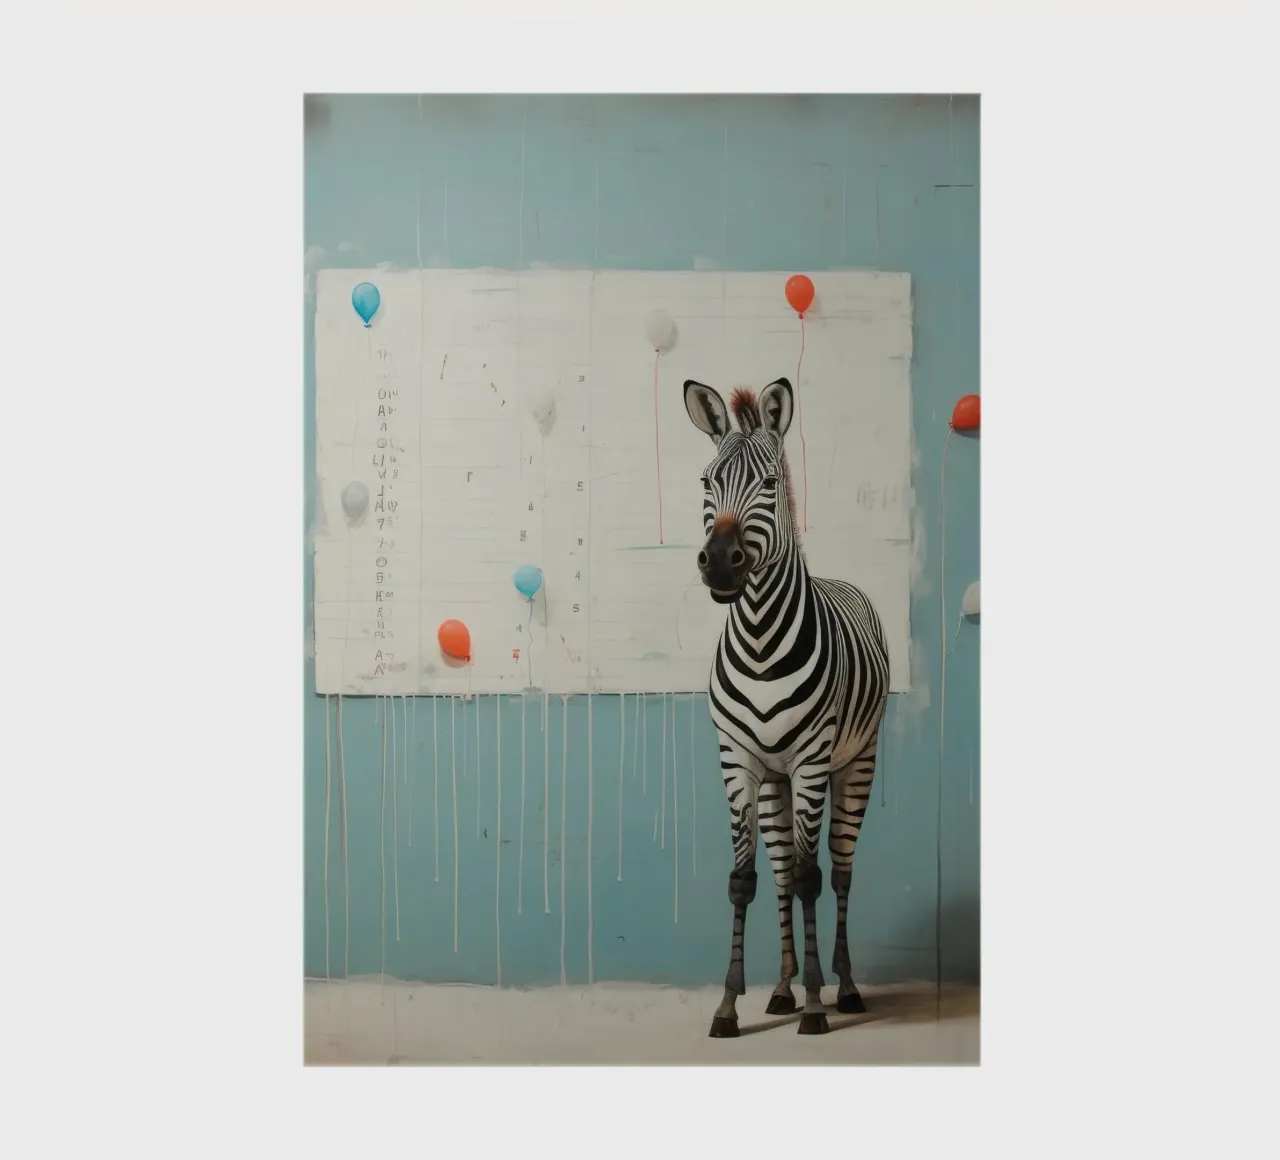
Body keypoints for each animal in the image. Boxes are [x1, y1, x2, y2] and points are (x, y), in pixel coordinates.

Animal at [682, 376, 890, 1037]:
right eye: (707, 481)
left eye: (770, 484)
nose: (721, 562)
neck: (757, 637)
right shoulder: (737, 761)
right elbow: (744, 880)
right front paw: (730, 1005)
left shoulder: (811, 761)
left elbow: (810, 877)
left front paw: (817, 1006)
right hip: (774, 780)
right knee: (778, 871)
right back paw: (779, 989)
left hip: (853, 765)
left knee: (839, 869)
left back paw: (843, 987)